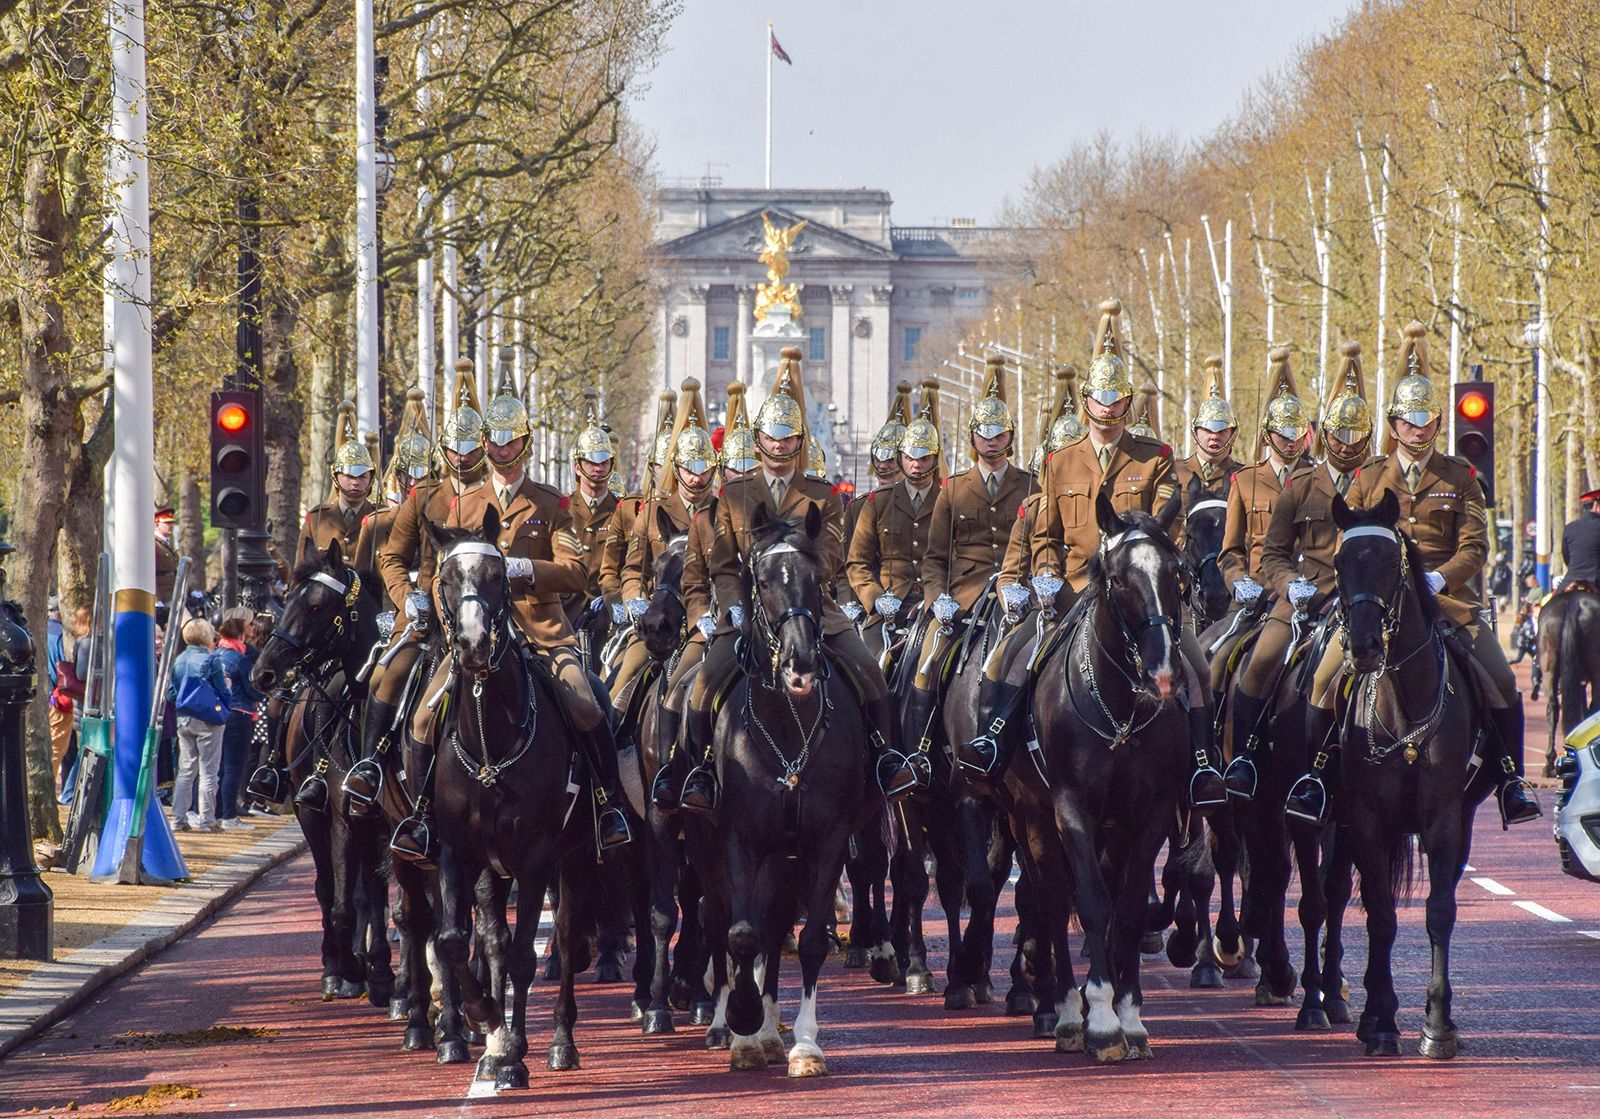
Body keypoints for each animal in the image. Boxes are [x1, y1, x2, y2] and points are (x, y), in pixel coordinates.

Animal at [249, 544, 390, 1005]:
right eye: (286, 600)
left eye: (314, 606)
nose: (262, 673)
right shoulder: (340, 817)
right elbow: (342, 898)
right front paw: (346, 967)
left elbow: (374, 895)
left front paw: (380, 973)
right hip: (315, 814)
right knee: (333, 889)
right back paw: (341, 965)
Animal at [425, 512, 611, 1088]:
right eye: (445, 579)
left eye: (497, 576)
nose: (472, 644)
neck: (492, 739)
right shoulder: (455, 851)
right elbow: (455, 940)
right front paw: (487, 1025)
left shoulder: (536, 857)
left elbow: (527, 957)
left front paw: (514, 1051)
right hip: (493, 867)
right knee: (493, 939)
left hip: (575, 858)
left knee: (566, 937)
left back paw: (558, 1043)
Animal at [694, 505, 876, 1075]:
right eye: (764, 580)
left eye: (818, 580)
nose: (800, 664)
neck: (788, 725)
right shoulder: (738, 838)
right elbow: (740, 932)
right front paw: (743, 1022)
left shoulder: (827, 840)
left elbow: (809, 939)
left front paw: (804, 1043)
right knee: (727, 921)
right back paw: (738, 1024)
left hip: (786, 855)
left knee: (775, 928)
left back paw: (772, 1029)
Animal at [1011, 493, 1190, 1062]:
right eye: (1117, 578)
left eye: (1175, 572)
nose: (1163, 674)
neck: (1121, 711)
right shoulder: (1072, 809)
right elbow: (1088, 903)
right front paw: (1102, 1021)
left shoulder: (1151, 815)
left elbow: (1128, 909)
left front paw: (1128, 1015)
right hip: (1032, 817)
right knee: (1050, 899)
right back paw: (1067, 1012)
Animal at [1318, 493, 1491, 1056]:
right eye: (1339, 563)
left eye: (1391, 562)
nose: (1365, 647)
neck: (1406, 701)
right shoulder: (1368, 821)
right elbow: (1381, 915)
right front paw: (1382, 1018)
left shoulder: (1445, 821)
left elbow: (1439, 911)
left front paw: (1438, 1024)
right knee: (1339, 898)